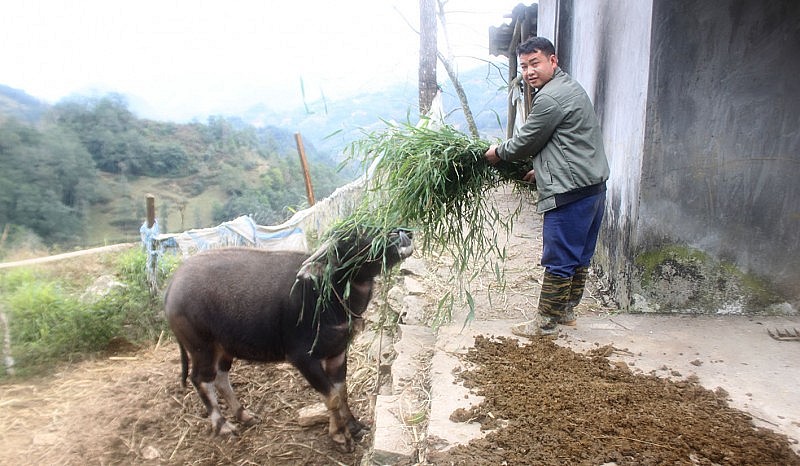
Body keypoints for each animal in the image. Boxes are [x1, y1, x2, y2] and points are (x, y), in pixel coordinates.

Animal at [162, 227, 412, 452]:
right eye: (355, 236)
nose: (402, 235)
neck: (326, 293)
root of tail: (172, 287)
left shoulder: (338, 351)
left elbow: (341, 390)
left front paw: (353, 425)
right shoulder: (303, 358)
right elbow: (331, 396)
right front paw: (341, 436)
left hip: (224, 348)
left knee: (221, 378)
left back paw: (244, 414)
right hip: (201, 348)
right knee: (201, 379)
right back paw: (224, 426)